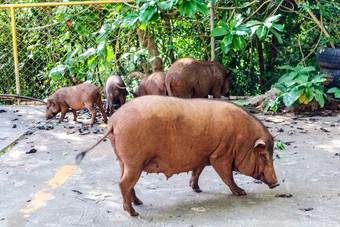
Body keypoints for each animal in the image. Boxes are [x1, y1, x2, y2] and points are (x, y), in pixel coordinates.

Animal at [77, 96, 278, 216]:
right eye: (264, 155)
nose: (276, 183)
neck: (243, 139)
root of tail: (113, 122)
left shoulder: (203, 156)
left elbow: (197, 172)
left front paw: (197, 190)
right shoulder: (220, 157)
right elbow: (227, 176)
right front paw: (242, 192)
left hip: (123, 161)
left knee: (125, 182)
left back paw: (139, 203)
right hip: (134, 163)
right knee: (123, 183)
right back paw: (134, 213)